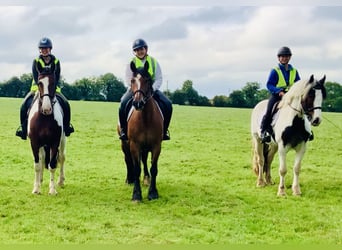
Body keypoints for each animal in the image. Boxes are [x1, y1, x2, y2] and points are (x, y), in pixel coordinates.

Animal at [118, 61, 164, 202]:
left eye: (147, 80)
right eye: (132, 80)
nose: (138, 103)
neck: (145, 118)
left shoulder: (156, 145)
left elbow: (153, 168)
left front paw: (153, 192)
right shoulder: (135, 145)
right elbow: (136, 168)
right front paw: (136, 195)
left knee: (143, 160)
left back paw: (146, 179)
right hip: (125, 144)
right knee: (128, 160)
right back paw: (129, 179)